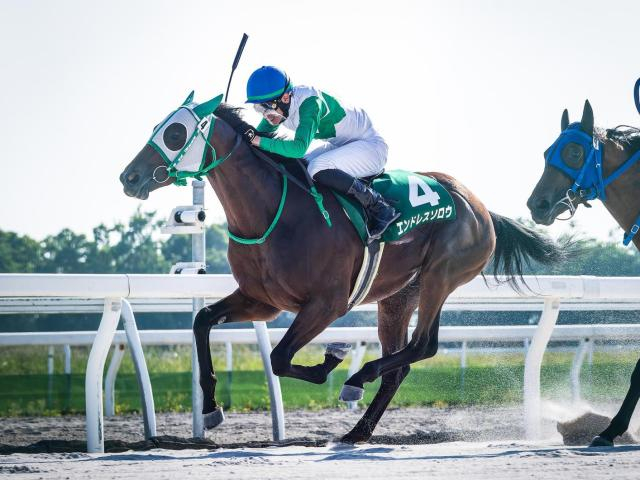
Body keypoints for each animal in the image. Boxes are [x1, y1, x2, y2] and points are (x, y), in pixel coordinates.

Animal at [120, 91, 566, 443]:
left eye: (175, 134)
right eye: (158, 127)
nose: (129, 177)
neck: (274, 213)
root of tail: (480, 207)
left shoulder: (327, 304)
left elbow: (279, 358)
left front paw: (332, 360)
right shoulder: (262, 301)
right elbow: (203, 322)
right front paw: (211, 407)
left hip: (441, 276)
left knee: (422, 345)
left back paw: (356, 380)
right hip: (400, 295)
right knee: (402, 362)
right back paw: (357, 430)